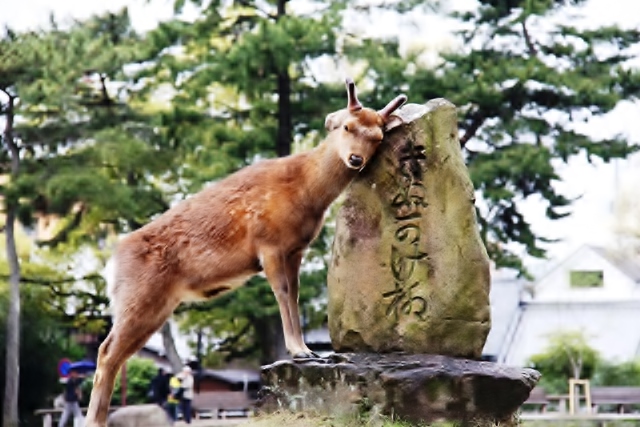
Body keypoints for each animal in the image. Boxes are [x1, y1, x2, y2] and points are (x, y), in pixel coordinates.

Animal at [84, 78, 407, 427]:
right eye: (346, 126)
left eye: (377, 138)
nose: (356, 160)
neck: (306, 195)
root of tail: (112, 263)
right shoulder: (269, 244)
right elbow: (282, 293)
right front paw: (299, 351)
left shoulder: (296, 249)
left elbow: (294, 295)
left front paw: (306, 349)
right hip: (139, 296)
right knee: (106, 351)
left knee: (112, 352)